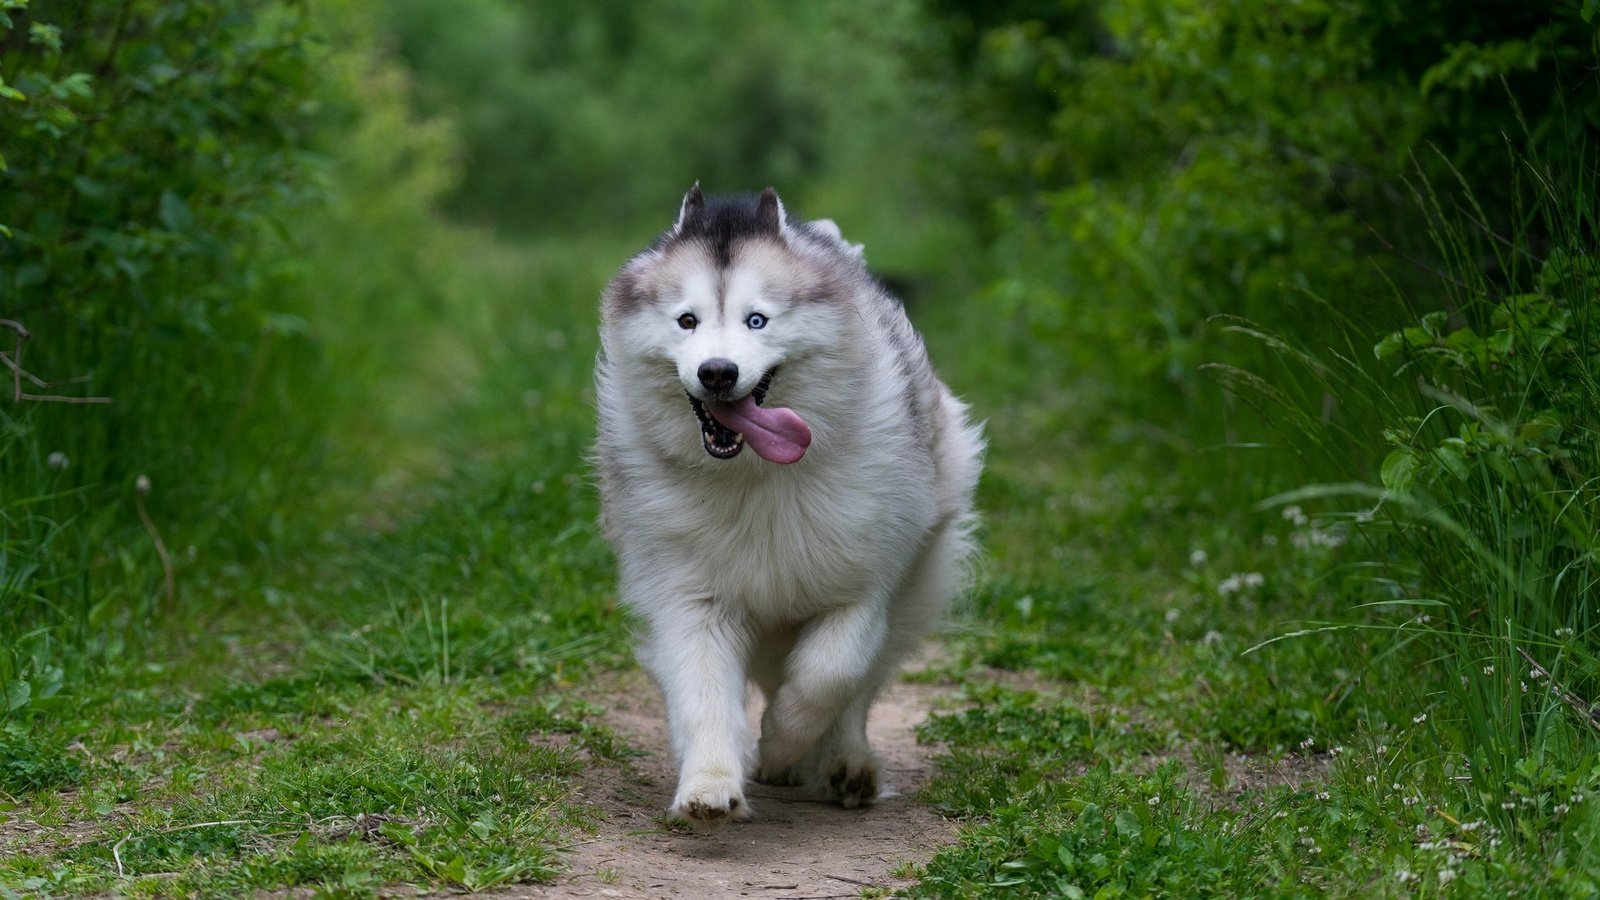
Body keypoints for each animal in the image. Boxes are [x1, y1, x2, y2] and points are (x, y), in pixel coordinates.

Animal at [595, 184, 979, 826]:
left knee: (858, 686)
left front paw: (779, 742)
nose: (717, 372)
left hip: (913, 584)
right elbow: (703, 692)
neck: (757, 476)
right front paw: (710, 783)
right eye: (687, 320)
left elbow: (830, 675)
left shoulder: (863, 583)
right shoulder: (691, 595)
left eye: (757, 319)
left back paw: (844, 765)